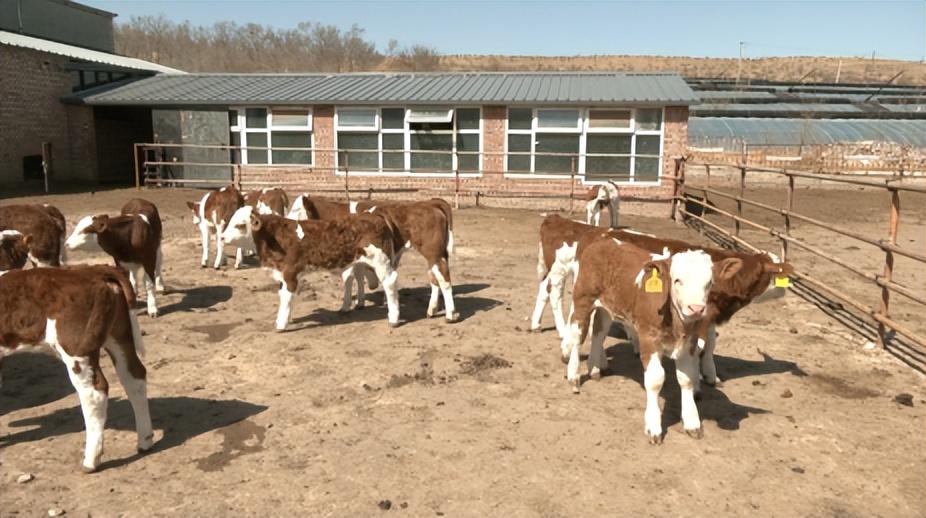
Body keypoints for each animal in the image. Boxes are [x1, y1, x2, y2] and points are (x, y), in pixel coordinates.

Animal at [0, 266, 154, 474]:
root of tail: (94, 271)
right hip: (119, 336)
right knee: (134, 378)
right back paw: (145, 441)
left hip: (76, 348)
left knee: (95, 392)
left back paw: (91, 460)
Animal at [225, 206, 402, 332]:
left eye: (240, 225)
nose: (222, 237)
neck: (273, 237)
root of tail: (374, 215)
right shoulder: (282, 275)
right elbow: (284, 296)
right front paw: (287, 318)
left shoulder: (290, 273)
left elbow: (286, 297)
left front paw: (281, 324)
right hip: (360, 260)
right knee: (355, 277)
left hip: (381, 260)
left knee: (390, 282)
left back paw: (393, 318)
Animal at [560, 242, 748, 444]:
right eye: (677, 280)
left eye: (709, 283)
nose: (696, 309)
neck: (676, 323)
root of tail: (605, 241)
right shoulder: (648, 339)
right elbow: (655, 379)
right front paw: (654, 426)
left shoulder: (688, 344)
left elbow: (687, 379)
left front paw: (692, 423)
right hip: (583, 299)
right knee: (578, 336)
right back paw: (574, 377)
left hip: (607, 306)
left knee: (598, 332)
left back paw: (594, 369)